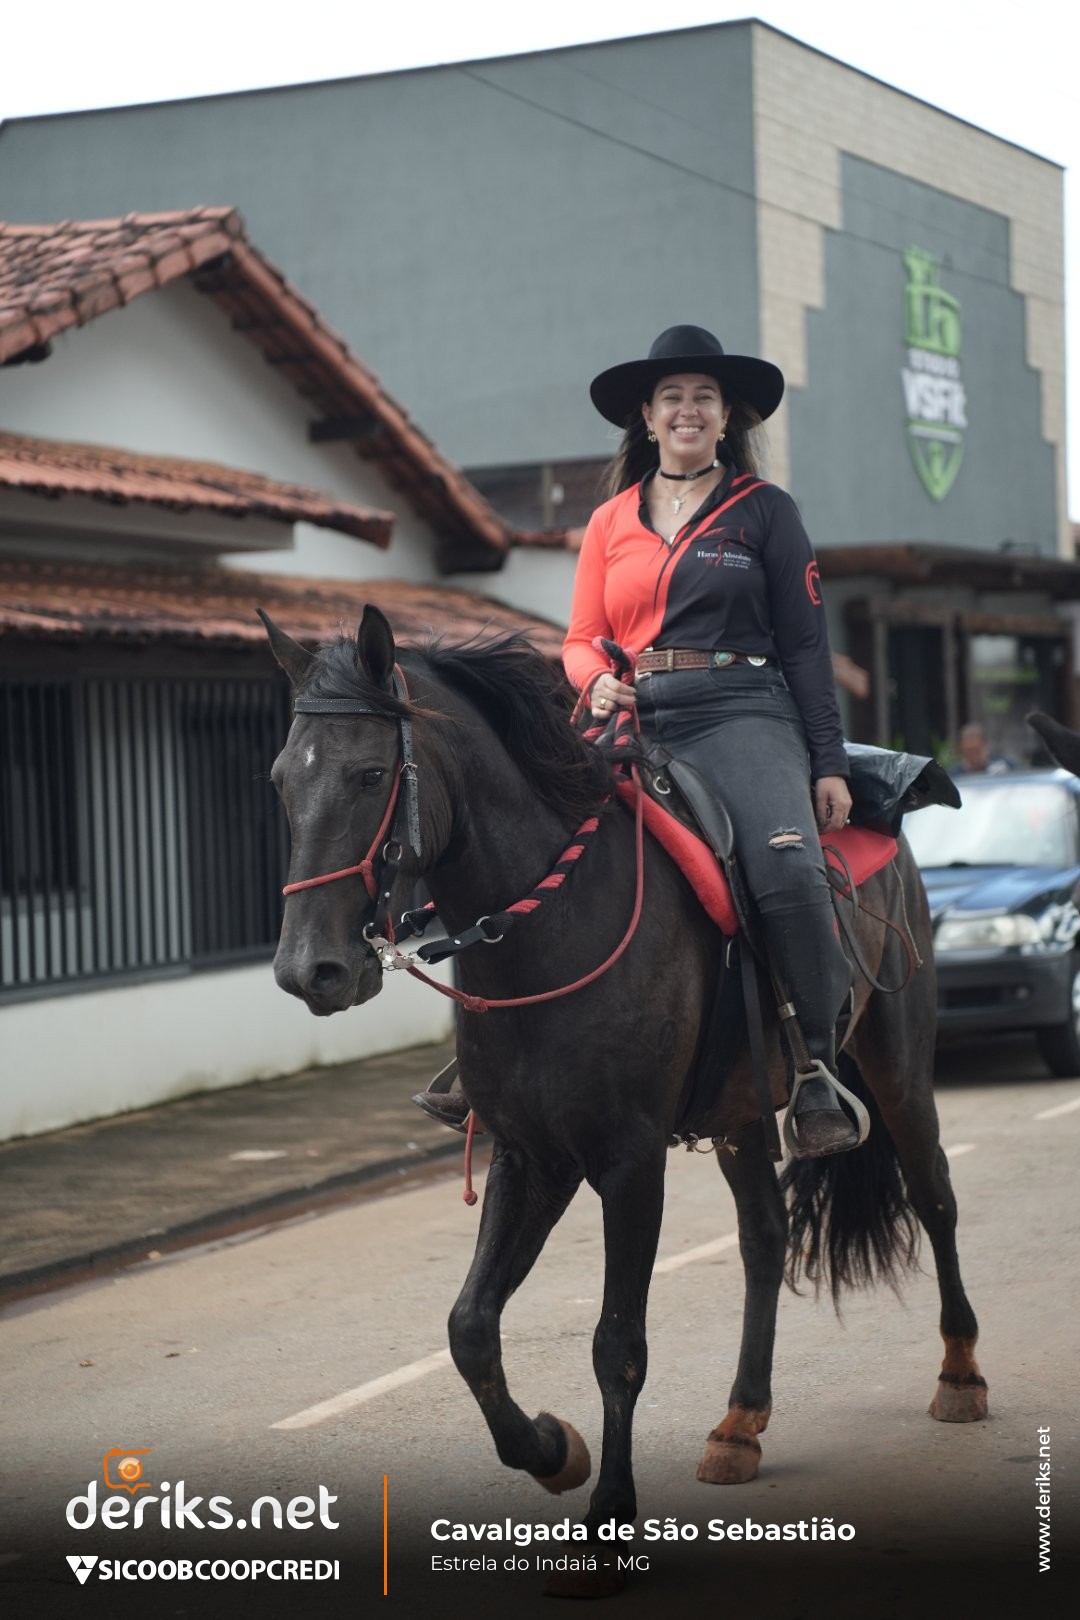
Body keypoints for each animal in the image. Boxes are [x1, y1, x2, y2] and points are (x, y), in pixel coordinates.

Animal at [263, 604, 987, 1561]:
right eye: (281, 781)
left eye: (371, 772)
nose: (310, 970)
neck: (549, 925)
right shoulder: (530, 1155)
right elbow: (469, 1328)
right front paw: (550, 1451)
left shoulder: (627, 1163)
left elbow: (618, 1344)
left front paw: (606, 1519)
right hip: (742, 1110)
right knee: (764, 1239)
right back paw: (739, 1422)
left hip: (896, 1066)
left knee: (934, 1195)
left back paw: (961, 1374)